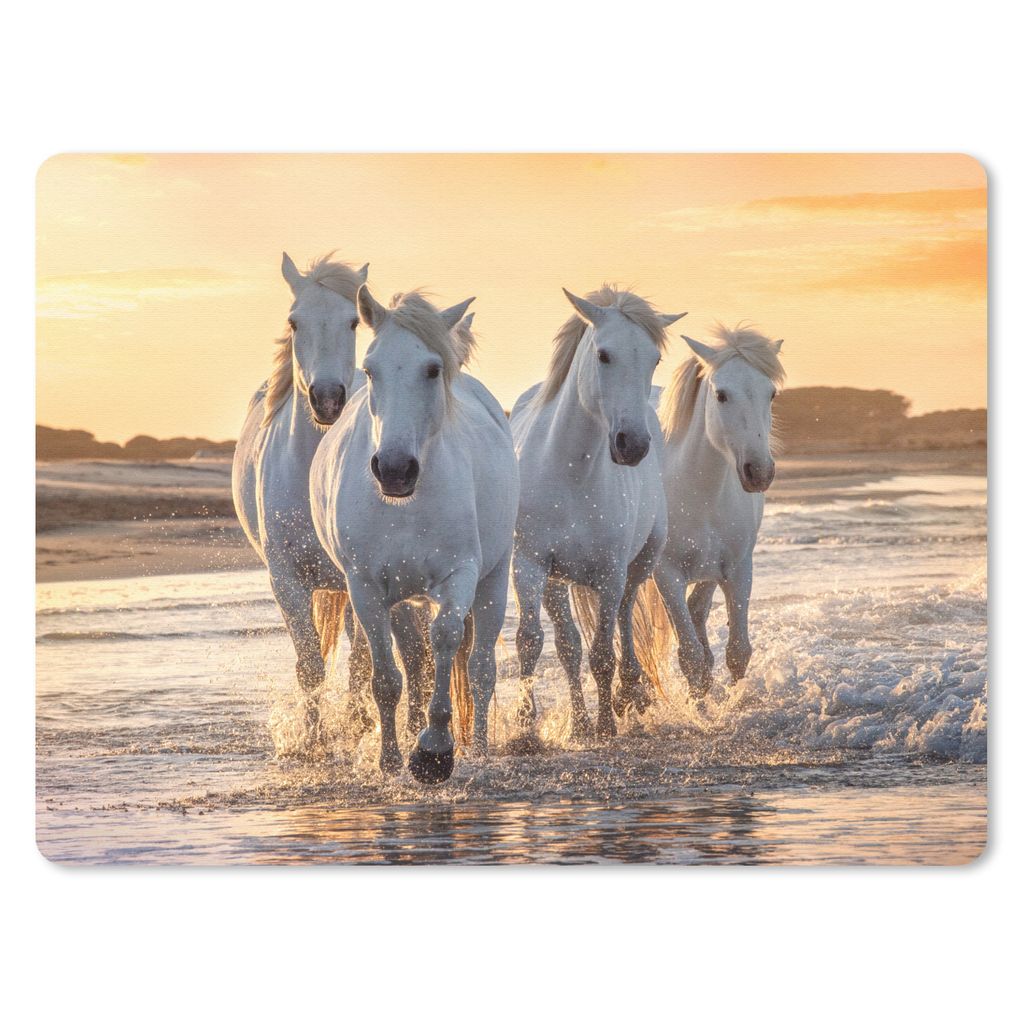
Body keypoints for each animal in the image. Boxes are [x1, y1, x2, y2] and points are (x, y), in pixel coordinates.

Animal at [231, 253, 431, 743]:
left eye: (352, 323)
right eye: (294, 321)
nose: (326, 399)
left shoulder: (363, 581)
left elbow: (362, 661)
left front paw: (358, 726)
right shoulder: (286, 582)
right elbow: (310, 666)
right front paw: (313, 740)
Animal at [310, 289, 518, 782]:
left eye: (432, 369)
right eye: (370, 369)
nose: (394, 469)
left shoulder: (460, 575)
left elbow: (445, 639)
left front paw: (434, 750)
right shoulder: (365, 586)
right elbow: (387, 677)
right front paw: (390, 760)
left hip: (494, 579)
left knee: (481, 669)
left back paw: (480, 748)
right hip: (404, 598)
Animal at [509, 287, 685, 741]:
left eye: (653, 359)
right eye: (604, 355)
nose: (632, 445)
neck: (570, 471)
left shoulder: (609, 573)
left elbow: (604, 652)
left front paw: (607, 723)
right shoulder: (530, 565)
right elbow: (533, 642)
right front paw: (526, 729)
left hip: (639, 564)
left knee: (624, 617)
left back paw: (629, 693)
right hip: (557, 581)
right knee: (569, 645)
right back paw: (580, 721)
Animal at [647, 324, 785, 696]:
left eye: (771, 394)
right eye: (721, 395)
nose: (759, 472)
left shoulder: (737, 569)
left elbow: (738, 652)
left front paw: (733, 702)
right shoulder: (667, 575)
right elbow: (691, 659)